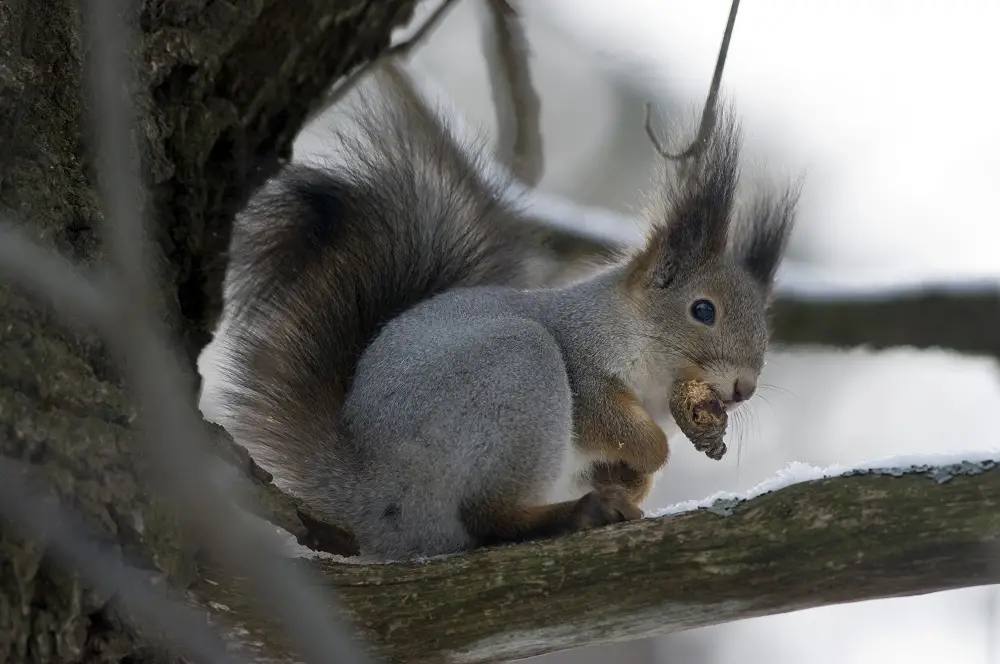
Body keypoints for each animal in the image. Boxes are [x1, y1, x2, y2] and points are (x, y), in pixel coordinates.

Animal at [201, 83, 796, 560]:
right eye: (703, 310)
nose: (743, 388)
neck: (652, 378)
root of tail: (369, 492)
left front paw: (633, 480)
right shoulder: (583, 362)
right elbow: (604, 418)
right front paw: (653, 454)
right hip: (514, 383)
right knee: (487, 519)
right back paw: (572, 514)